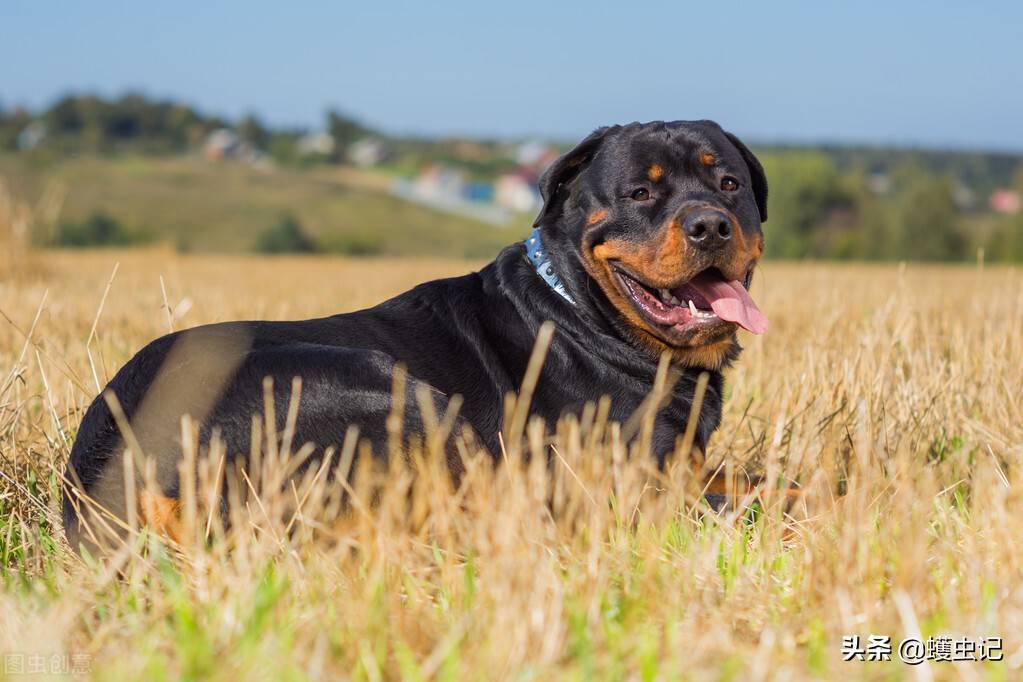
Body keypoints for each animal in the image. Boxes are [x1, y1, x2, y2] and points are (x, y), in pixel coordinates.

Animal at [63, 120, 769, 552]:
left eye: (730, 184)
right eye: (639, 192)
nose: (711, 224)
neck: (586, 311)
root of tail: (111, 467)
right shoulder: (627, 478)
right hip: (390, 391)